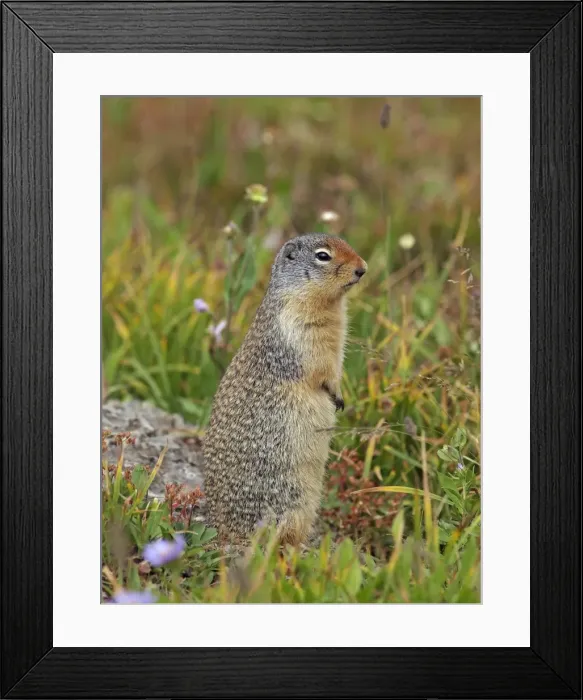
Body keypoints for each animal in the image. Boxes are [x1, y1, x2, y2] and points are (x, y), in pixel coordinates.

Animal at [203, 234, 367, 546]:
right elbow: (320, 369)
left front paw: (340, 397)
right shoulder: (299, 332)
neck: (330, 305)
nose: (362, 268)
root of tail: (221, 533)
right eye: (323, 256)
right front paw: (334, 395)